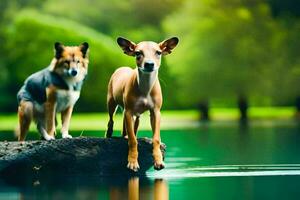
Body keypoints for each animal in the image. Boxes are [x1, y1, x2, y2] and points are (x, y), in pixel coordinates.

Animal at [106, 37, 178, 172]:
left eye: (158, 52)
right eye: (138, 53)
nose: (149, 64)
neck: (145, 89)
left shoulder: (156, 111)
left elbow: (156, 138)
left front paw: (158, 161)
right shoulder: (129, 111)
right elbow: (133, 140)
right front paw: (132, 162)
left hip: (136, 113)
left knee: (134, 124)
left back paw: (125, 135)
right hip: (111, 100)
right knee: (111, 120)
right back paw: (108, 135)